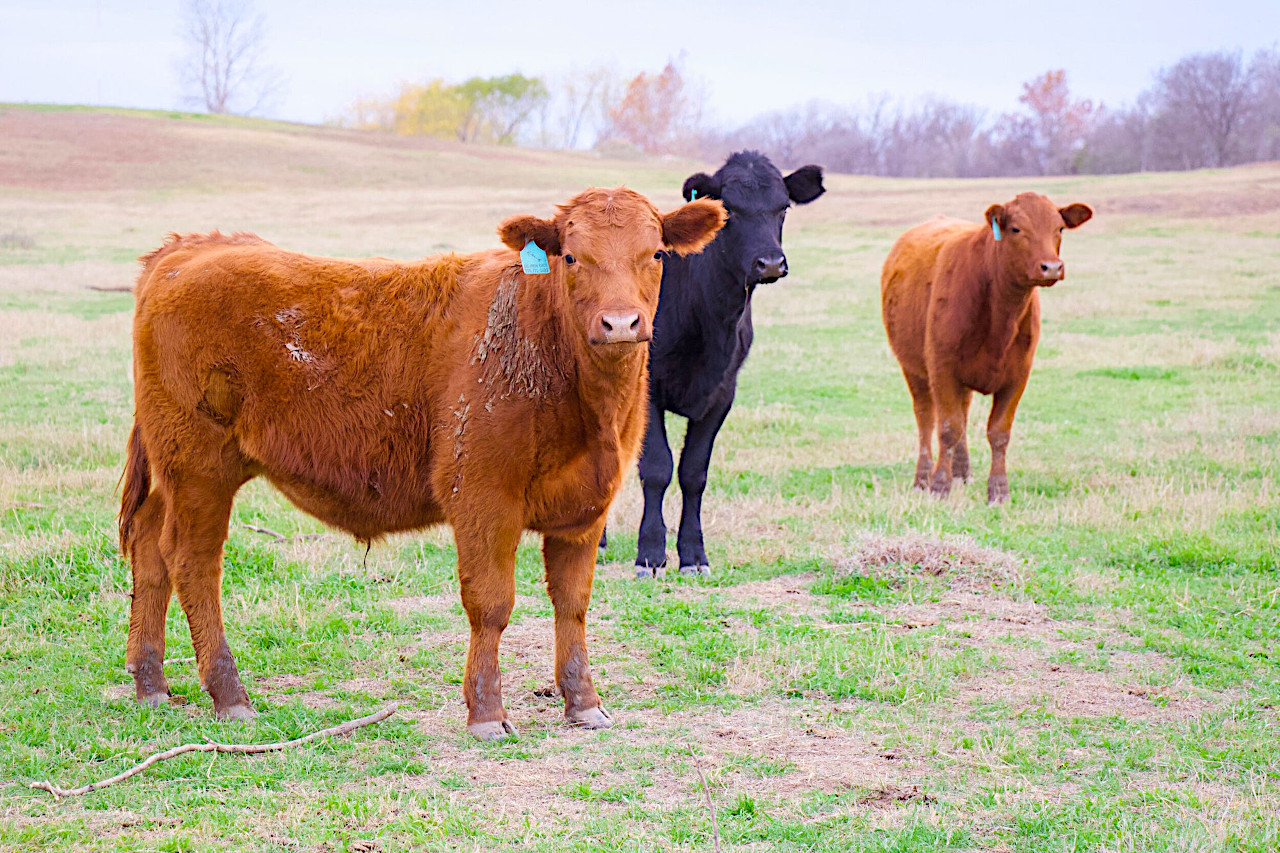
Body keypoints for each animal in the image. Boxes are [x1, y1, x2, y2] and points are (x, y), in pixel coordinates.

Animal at [117, 187, 726, 740]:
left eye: (656, 253)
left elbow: (572, 604)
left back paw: (151, 684)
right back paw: (230, 695)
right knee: (192, 562)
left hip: (175, 470)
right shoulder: (481, 496)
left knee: (148, 547)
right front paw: (487, 713)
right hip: (199, 467)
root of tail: (191, 247)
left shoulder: (585, 508)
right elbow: (491, 603)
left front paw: (584, 702)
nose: (620, 323)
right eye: (572, 256)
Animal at [600, 151, 825, 578]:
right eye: (729, 210)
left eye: (783, 207)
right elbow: (658, 467)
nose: (771, 263)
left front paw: (693, 555)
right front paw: (650, 554)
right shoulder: (649, 389)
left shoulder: (722, 393)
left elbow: (694, 472)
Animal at [880, 192, 1092, 504]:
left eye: (1060, 229)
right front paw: (938, 486)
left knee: (963, 413)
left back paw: (961, 472)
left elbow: (998, 432)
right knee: (926, 418)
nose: (1051, 267)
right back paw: (922, 477)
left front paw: (998, 491)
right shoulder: (942, 368)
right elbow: (947, 428)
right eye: (1016, 228)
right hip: (913, 368)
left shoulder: (1018, 375)